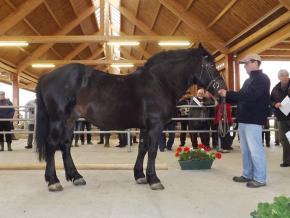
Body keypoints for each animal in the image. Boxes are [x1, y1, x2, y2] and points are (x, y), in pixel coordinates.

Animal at [35, 43, 227, 191]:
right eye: (210, 65)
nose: (222, 89)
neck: (160, 82)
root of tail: (46, 76)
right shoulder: (155, 125)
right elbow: (152, 150)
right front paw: (154, 179)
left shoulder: (145, 127)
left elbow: (142, 148)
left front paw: (140, 175)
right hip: (58, 120)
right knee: (52, 145)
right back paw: (53, 181)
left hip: (69, 121)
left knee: (65, 146)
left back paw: (76, 176)